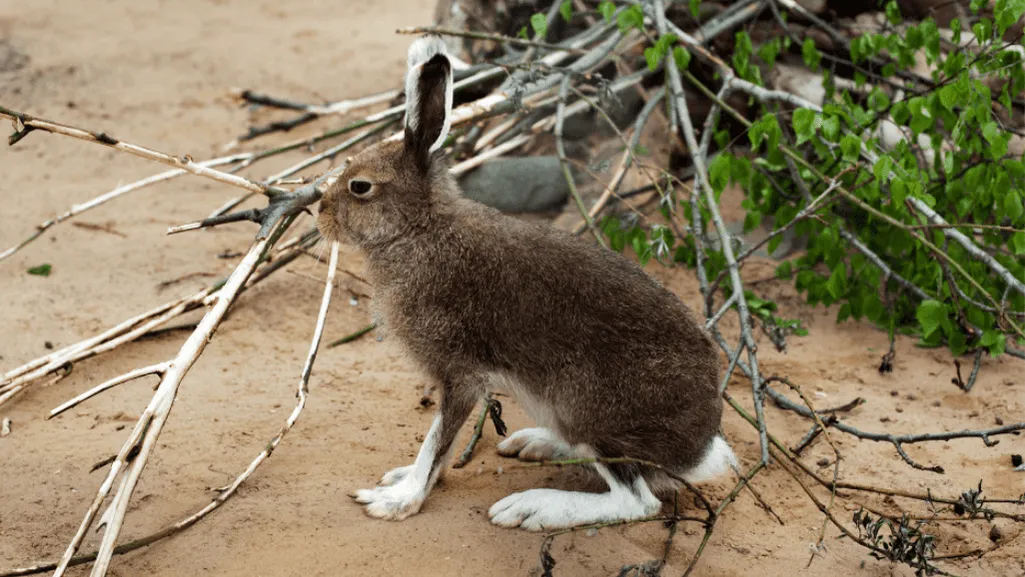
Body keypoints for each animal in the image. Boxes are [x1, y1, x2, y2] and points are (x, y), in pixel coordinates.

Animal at [316, 34, 737, 532]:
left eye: (359, 186)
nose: (319, 212)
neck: (419, 228)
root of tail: (699, 451)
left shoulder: (460, 373)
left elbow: (436, 440)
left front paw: (399, 500)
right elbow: (439, 449)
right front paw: (405, 481)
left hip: (587, 408)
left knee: (636, 500)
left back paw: (534, 507)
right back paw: (538, 444)